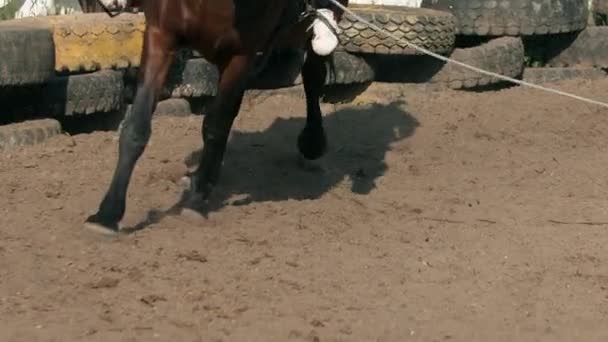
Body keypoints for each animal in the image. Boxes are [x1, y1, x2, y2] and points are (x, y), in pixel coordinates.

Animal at [86, 0, 352, 234]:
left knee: (313, 74)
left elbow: (216, 124)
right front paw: (108, 214)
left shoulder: (241, 55)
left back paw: (312, 143)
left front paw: (198, 198)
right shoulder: (161, 35)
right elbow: (137, 127)